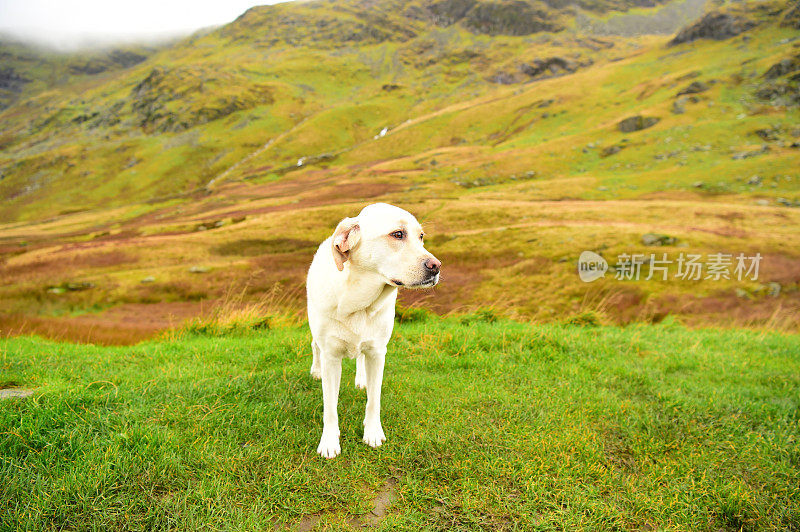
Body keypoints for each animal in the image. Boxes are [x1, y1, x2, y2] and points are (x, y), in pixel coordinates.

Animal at [308, 204, 444, 458]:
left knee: (360, 356)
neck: (358, 301)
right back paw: (315, 370)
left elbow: (374, 399)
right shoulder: (331, 356)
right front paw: (329, 441)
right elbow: (330, 406)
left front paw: (372, 433)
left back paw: (361, 379)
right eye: (398, 234)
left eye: (421, 237)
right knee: (314, 347)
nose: (436, 266)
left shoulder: (378, 353)